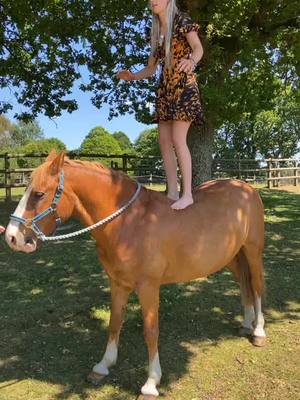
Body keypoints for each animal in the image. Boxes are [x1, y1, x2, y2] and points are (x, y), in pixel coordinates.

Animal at [6, 152, 264, 398]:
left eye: (39, 194)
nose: (11, 237)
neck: (129, 221)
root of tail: (246, 187)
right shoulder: (118, 283)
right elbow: (114, 322)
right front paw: (103, 366)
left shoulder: (148, 287)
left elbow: (150, 331)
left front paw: (151, 383)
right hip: (232, 256)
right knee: (244, 284)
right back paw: (246, 323)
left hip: (253, 251)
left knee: (258, 286)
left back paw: (258, 331)